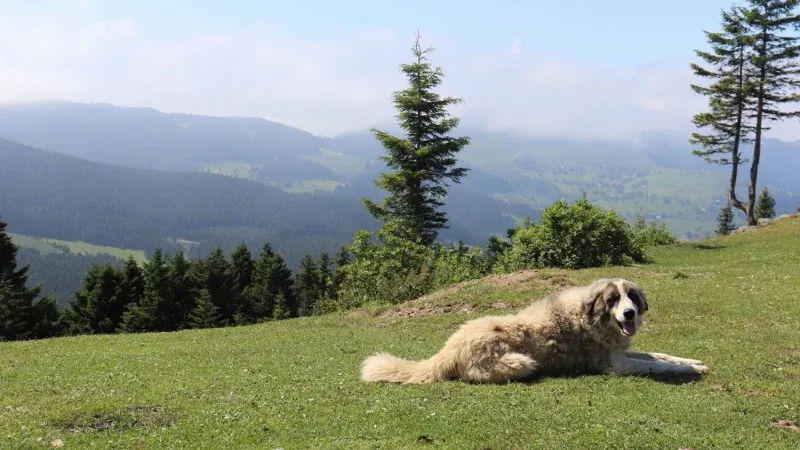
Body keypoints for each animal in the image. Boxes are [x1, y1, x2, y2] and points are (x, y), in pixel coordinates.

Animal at [360, 276, 708, 384]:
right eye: (612, 300)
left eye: (632, 297)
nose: (630, 313)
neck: (590, 318)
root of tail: (447, 351)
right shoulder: (615, 365)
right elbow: (655, 365)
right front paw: (691, 369)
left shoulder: (622, 351)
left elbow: (660, 355)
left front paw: (692, 361)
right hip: (521, 362)